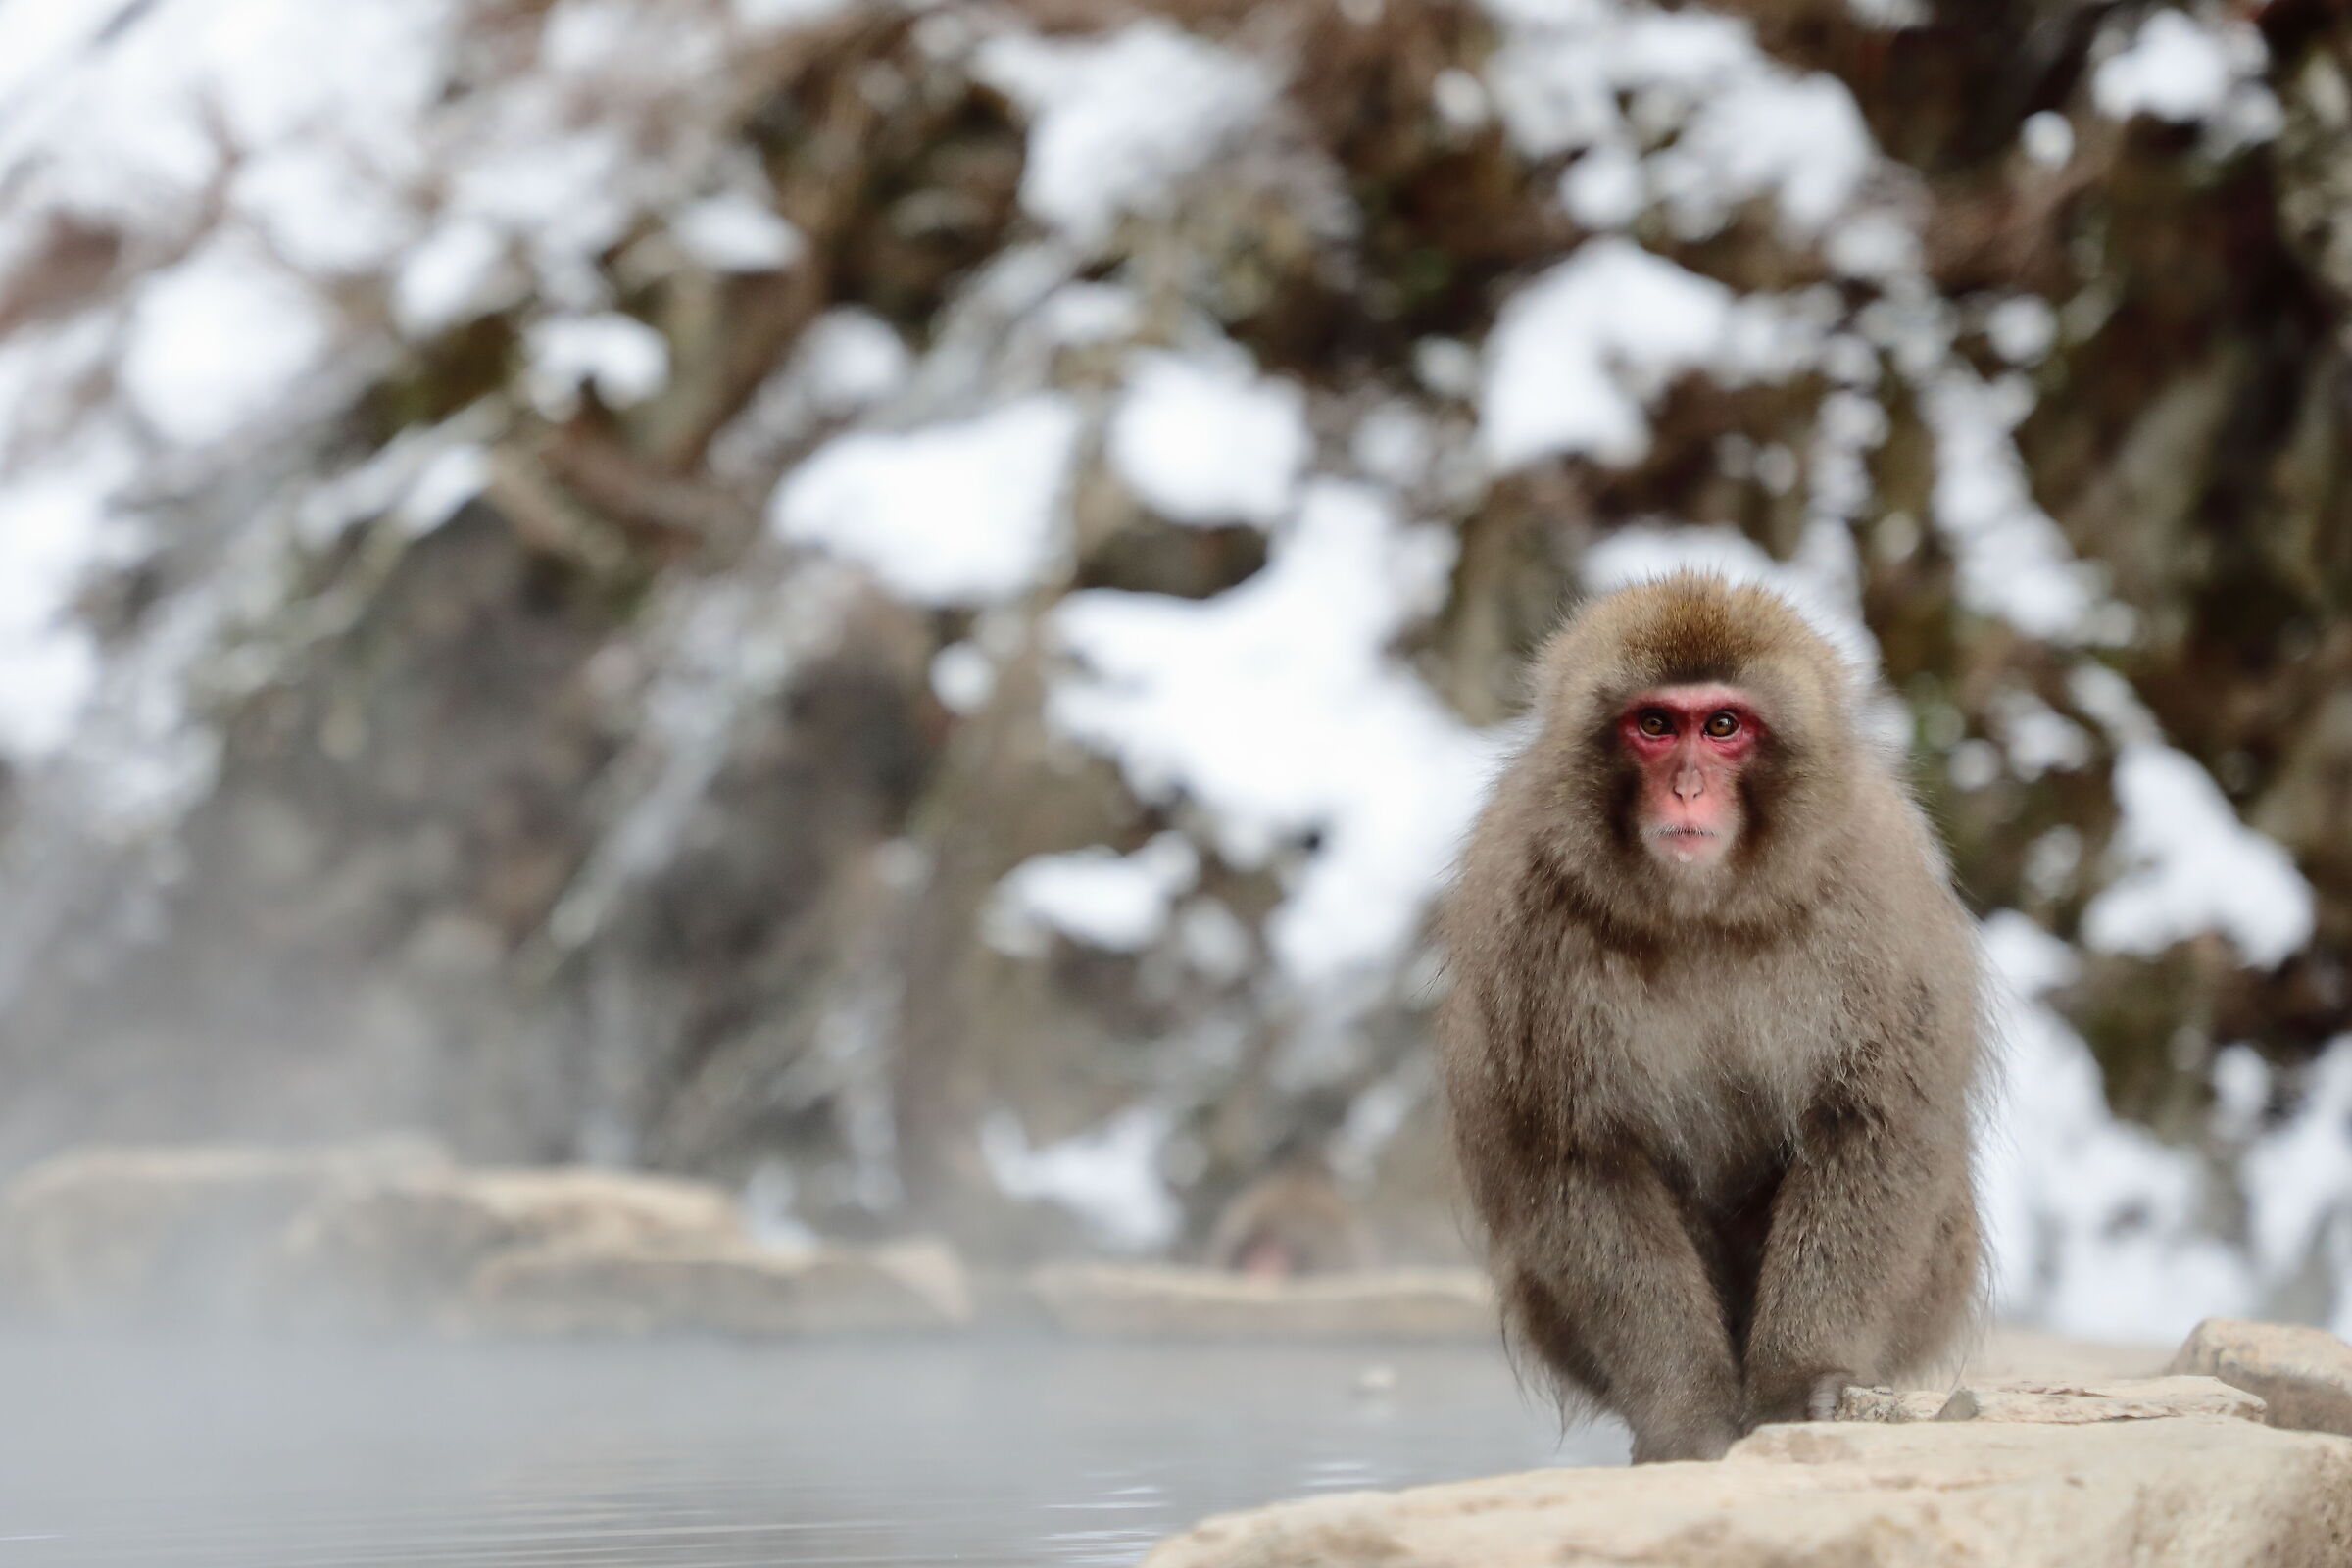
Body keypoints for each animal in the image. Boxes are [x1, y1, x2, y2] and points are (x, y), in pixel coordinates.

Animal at [1436, 573, 1984, 1464]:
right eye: (1656, 725)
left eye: (1723, 726)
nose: (1688, 786)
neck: (1701, 909)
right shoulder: (1526, 915)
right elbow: (1580, 1159)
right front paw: (1686, 1419)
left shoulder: (1871, 887)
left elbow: (1873, 1127)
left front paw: (1800, 1381)